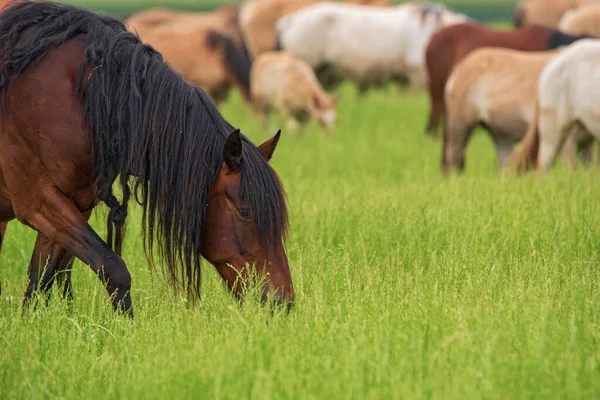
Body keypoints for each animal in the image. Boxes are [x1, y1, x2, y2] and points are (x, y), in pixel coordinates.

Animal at [0, 0, 294, 318]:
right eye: (244, 211)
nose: (282, 301)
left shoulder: (74, 207)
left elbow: (39, 281)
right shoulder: (39, 202)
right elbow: (112, 267)